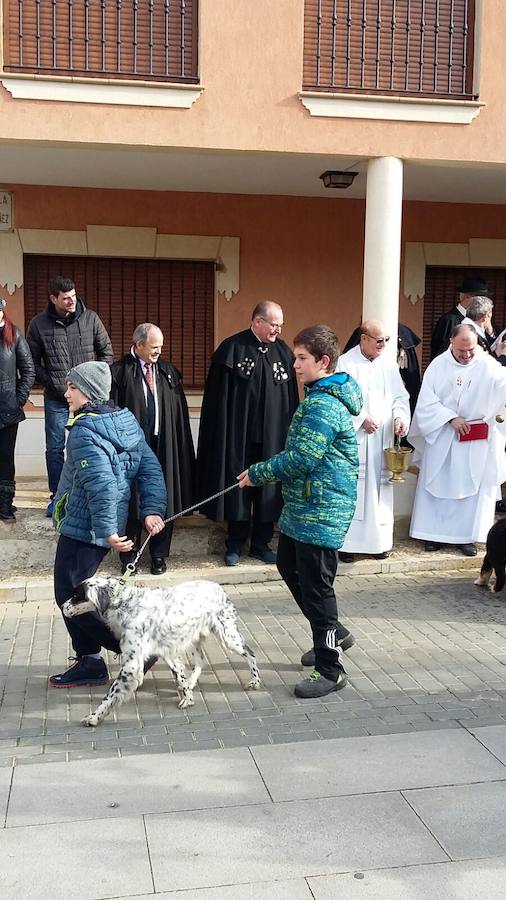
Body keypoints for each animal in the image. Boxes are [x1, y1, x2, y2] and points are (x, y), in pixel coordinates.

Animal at [62, 576, 260, 724]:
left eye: (76, 595)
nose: (63, 607)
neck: (124, 603)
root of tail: (218, 587)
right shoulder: (167, 652)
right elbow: (180, 674)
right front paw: (188, 696)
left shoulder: (132, 666)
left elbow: (111, 694)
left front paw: (94, 716)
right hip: (193, 639)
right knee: (200, 661)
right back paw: (192, 682)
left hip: (228, 637)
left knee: (250, 653)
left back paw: (255, 681)